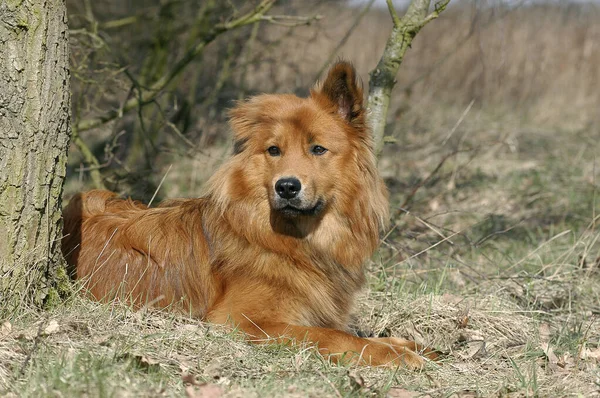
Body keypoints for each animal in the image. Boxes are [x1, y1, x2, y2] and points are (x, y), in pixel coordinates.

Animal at [62, 61, 436, 366]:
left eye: (318, 149)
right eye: (274, 150)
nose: (287, 187)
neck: (298, 242)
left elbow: (360, 332)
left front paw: (415, 345)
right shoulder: (241, 320)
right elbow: (333, 336)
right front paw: (394, 355)